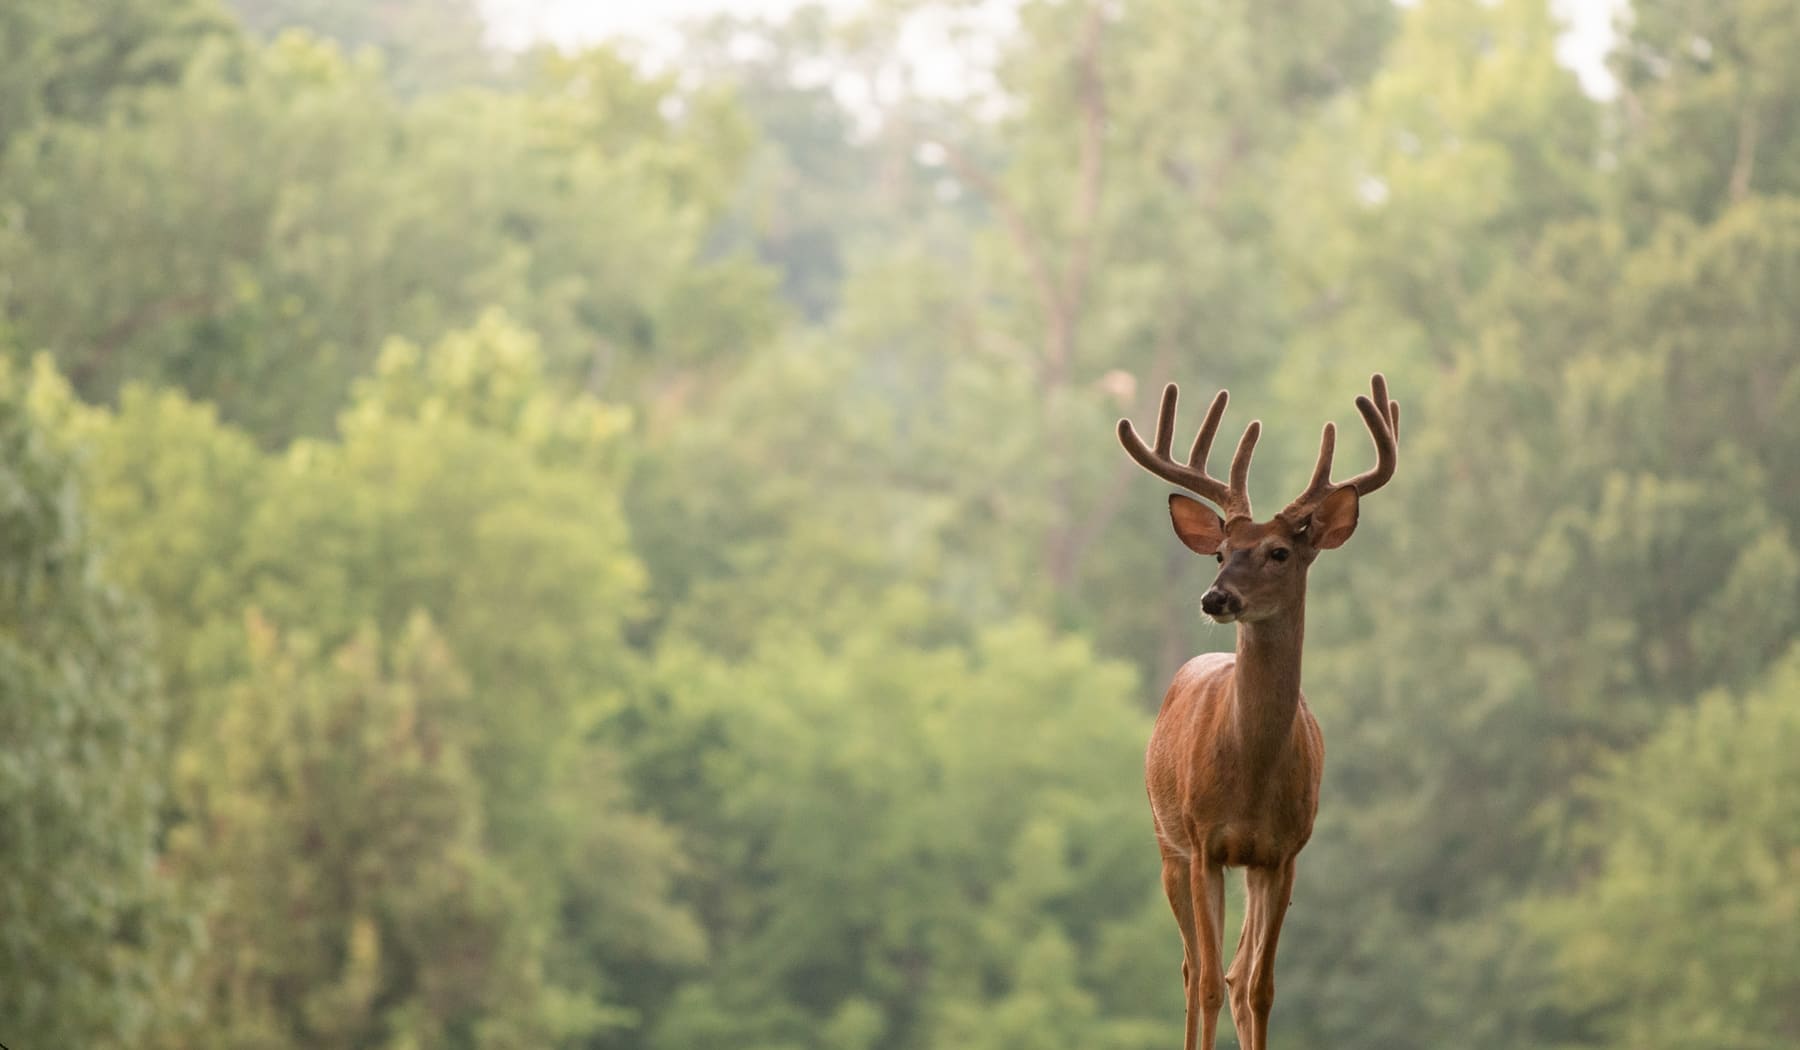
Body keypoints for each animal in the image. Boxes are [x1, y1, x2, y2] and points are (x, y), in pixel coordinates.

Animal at [1116, 374, 1399, 1050]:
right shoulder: (1204, 842)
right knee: (1193, 968)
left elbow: (1259, 987)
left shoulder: (1285, 851)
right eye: (1220, 552)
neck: (1252, 773)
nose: (1215, 597)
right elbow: (1209, 984)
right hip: (1168, 843)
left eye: (1278, 553)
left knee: (1236, 971)